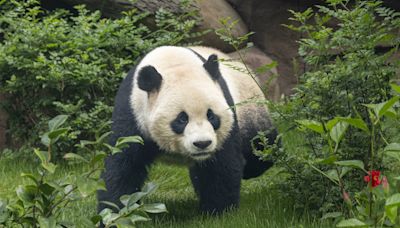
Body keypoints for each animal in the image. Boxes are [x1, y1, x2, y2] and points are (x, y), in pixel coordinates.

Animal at [98, 45, 276, 216]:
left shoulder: (226, 116)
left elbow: (221, 166)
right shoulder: (132, 114)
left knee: (261, 147)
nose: (202, 144)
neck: (172, 62)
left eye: (211, 115)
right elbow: (124, 166)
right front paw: (115, 213)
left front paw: (218, 212)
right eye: (182, 119)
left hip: (250, 110)